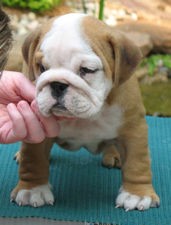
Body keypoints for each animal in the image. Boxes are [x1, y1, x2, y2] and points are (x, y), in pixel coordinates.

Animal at [11, 13, 159, 211]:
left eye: (87, 70)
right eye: (41, 67)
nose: (57, 84)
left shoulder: (133, 129)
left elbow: (137, 163)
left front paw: (137, 194)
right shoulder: (36, 125)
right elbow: (33, 158)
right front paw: (32, 189)